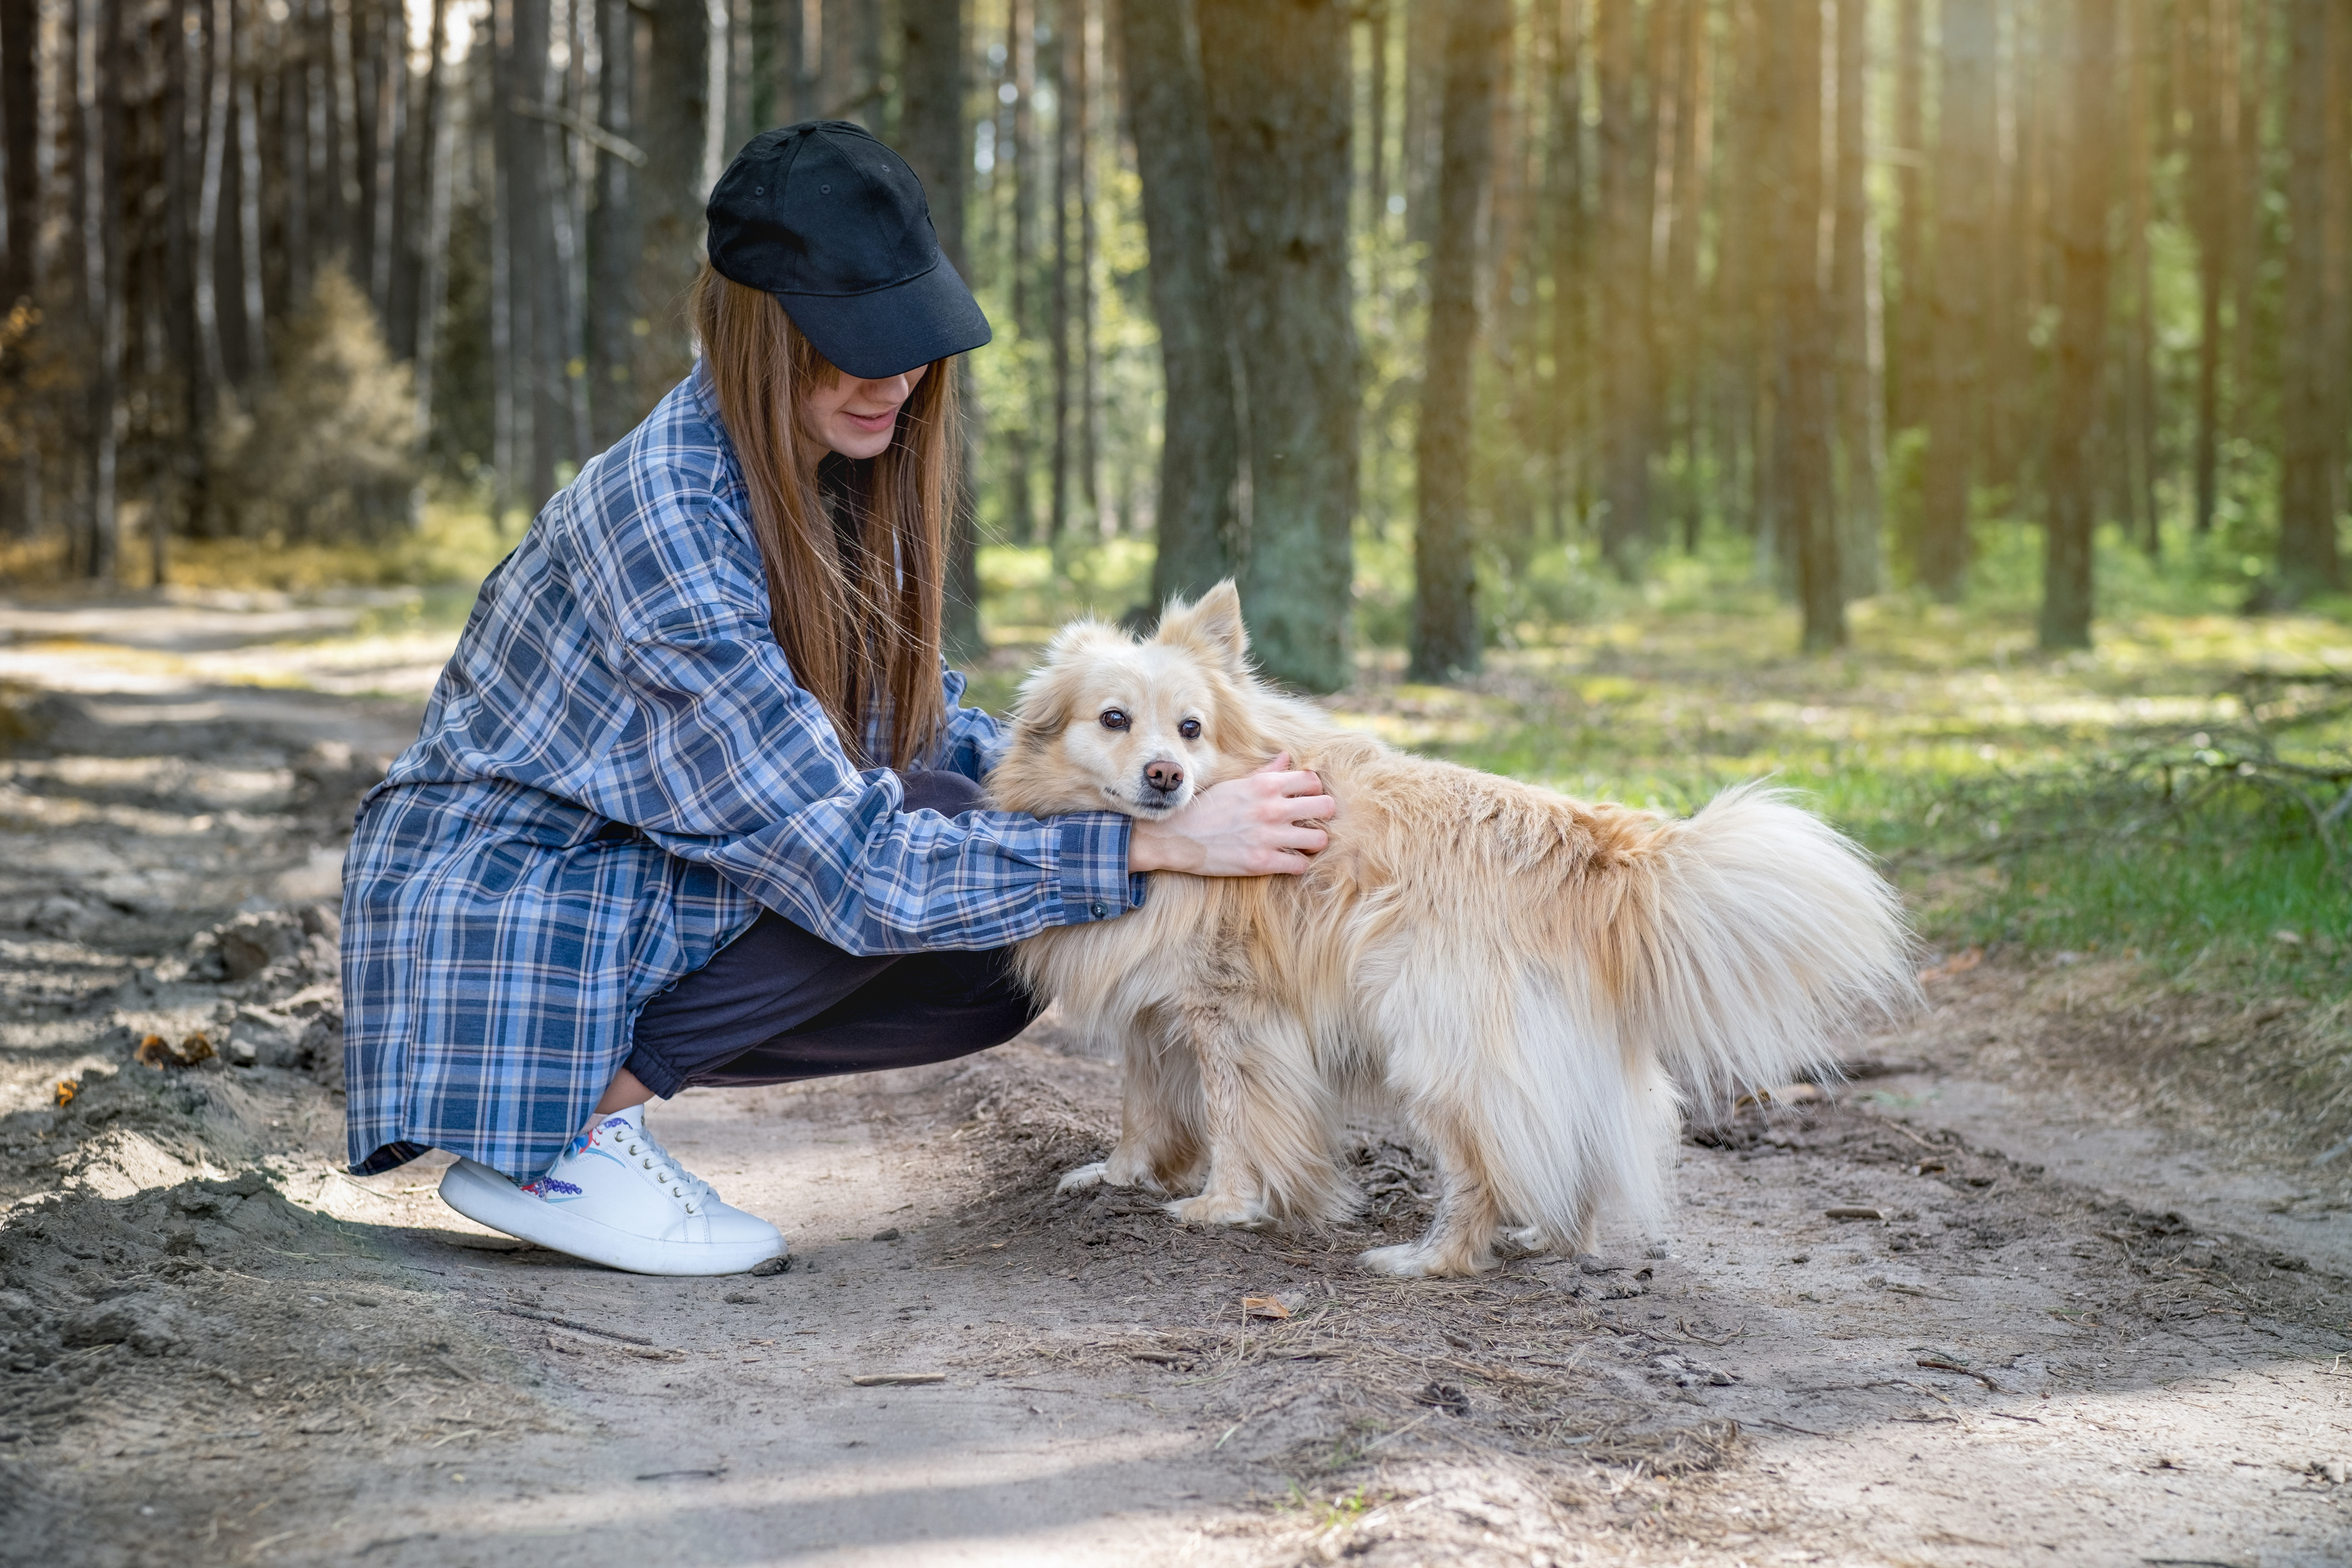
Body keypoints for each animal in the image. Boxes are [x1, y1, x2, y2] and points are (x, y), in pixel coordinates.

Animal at [993, 585, 1910, 1279]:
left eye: (1190, 728)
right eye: (1113, 719)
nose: (1166, 775)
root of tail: (1593, 846)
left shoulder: (1232, 1016)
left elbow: (1234, 1120)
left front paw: (1223, 1206)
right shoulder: (1155, 1016)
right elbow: (1144, 1109)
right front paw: (1118, 1177)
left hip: (1440, 1048)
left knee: (1480, 1175)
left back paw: (1431, 1259)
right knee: (1567, 1153)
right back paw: (1547, 1237)